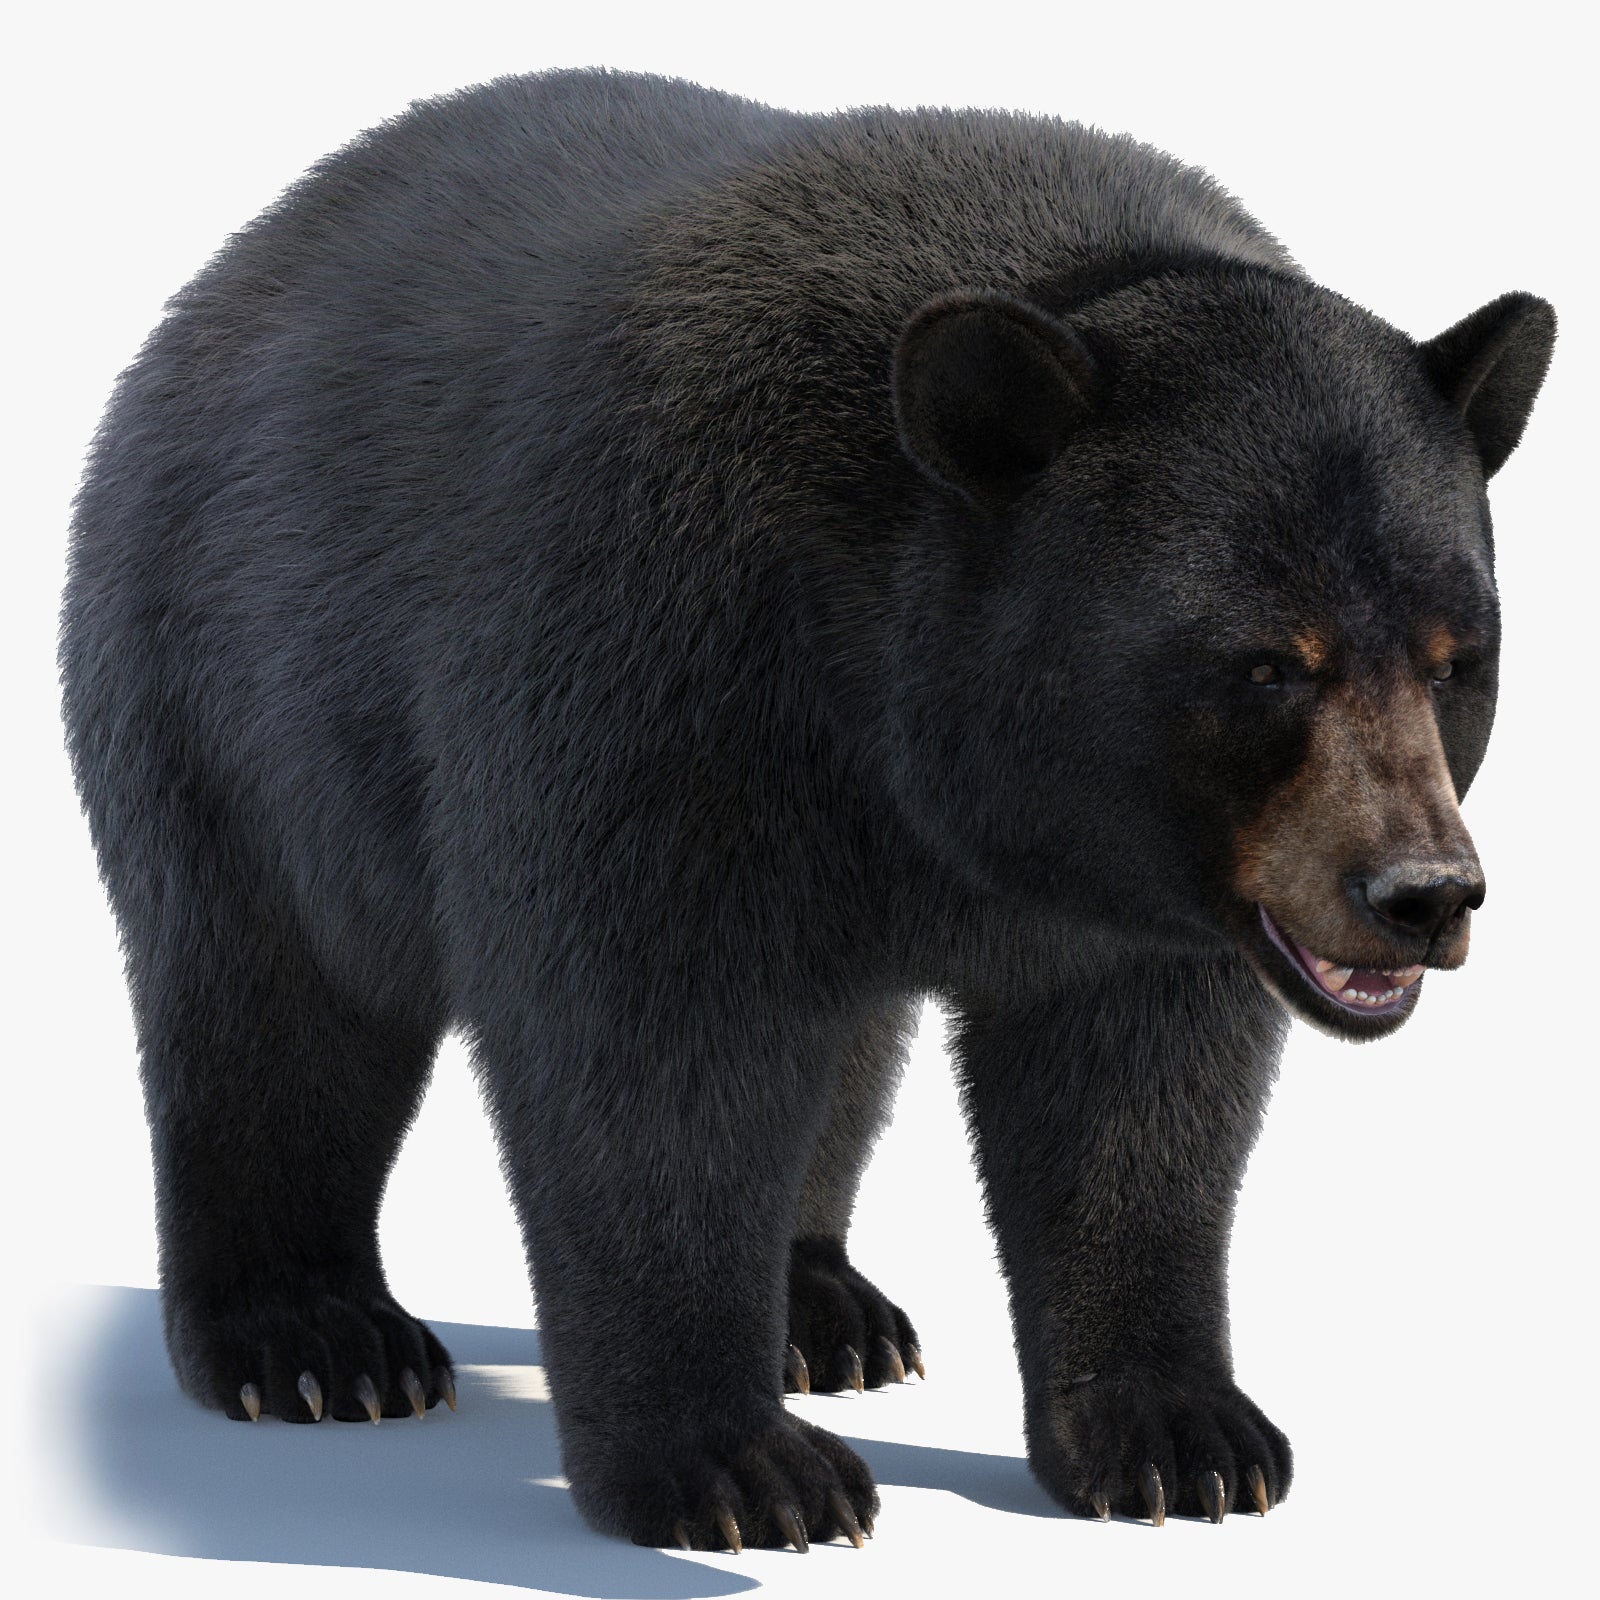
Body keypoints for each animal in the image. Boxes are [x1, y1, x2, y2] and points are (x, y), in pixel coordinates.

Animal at [59, 67, 1554, 1549]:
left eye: (1453, 658)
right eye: (1266, 664)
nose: (1421, 895)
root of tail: (228, 270)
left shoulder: (1154, 890)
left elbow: (1139, 1096)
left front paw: (1181, 1435)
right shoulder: (660, 649)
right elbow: (649, 1045)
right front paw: (730, 1467)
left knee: (841, 1051)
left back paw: (823, 1306)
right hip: (226, 682)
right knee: (268, 1006)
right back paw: (312, 1338)